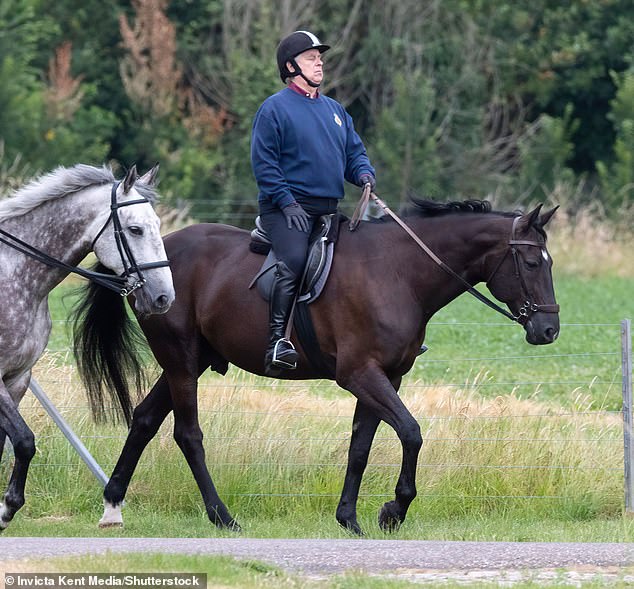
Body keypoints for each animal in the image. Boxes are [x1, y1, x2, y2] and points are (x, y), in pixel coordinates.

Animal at [0, 163, 174, 532]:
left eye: (157, 225)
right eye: (134, 229)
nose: (164, 297)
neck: (15, 275)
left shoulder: (18, 378)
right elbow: (23, 442)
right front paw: (7, 509)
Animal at [75, 198, 556, 532]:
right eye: (532, 262)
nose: (549, 329)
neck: (398, 272)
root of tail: (146, 264)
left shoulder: (387, 377)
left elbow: (361, 446)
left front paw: (349, 518)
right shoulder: (360, 375)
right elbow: (411, 432)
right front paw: (393, 511)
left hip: (189, 363)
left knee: (144, 419)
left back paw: (113, 504)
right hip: (180, 358)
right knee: (187, 434)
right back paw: (222, 516)